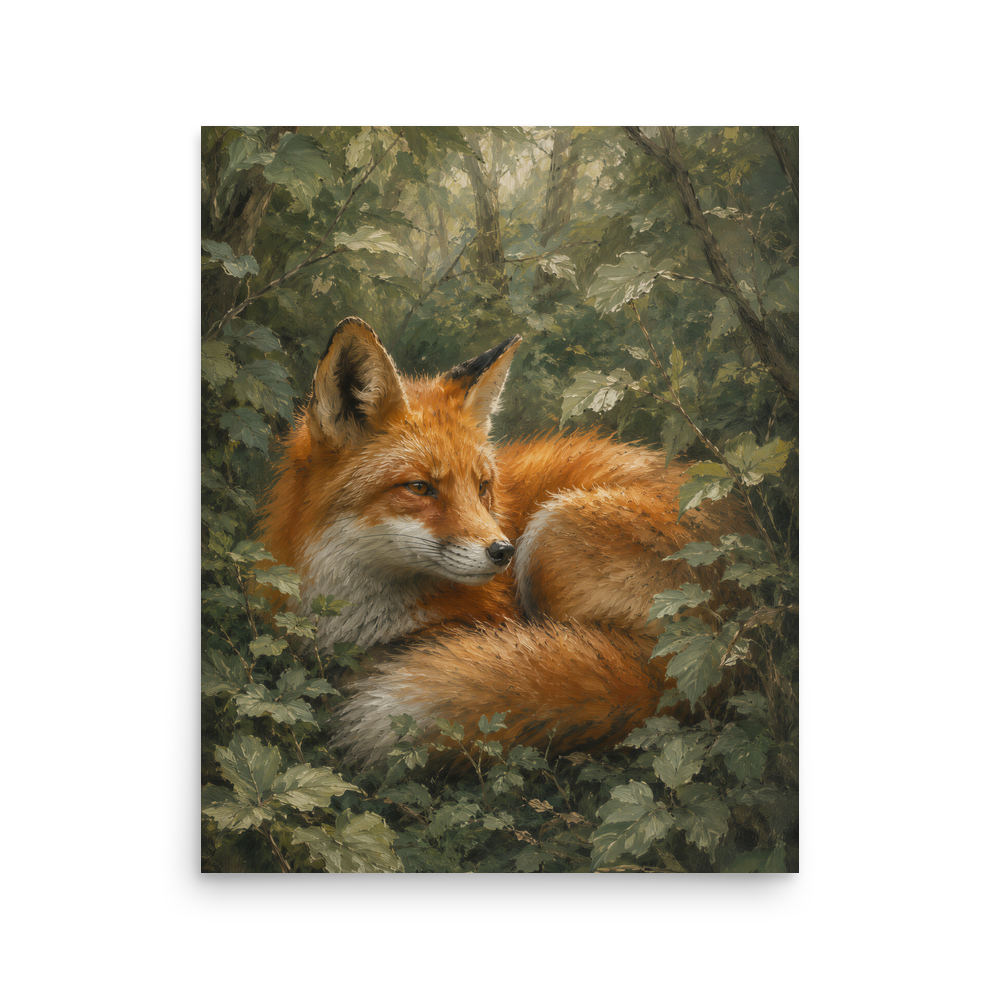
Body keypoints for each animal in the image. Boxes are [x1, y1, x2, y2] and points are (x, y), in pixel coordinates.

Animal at [257, 316, 753, 773]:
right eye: (419, 487)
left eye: (482, 487)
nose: (502, 552)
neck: (355, 610)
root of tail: (705, 657)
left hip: (552, 534)